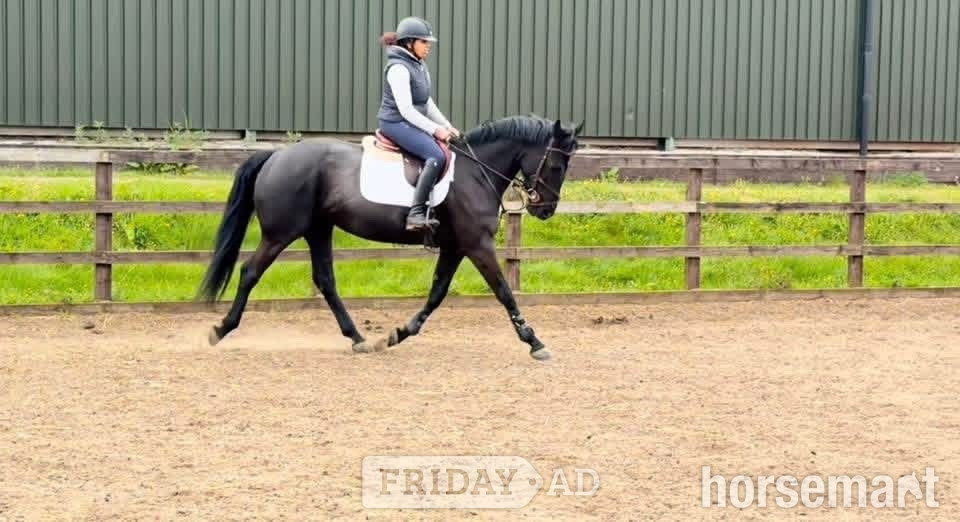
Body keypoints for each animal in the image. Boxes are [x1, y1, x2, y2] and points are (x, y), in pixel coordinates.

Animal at [197, 115, 582, 360]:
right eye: (556, 165)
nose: (545, 210)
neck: (475, 173)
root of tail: (277, 154)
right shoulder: (477, 245)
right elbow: (504, 292)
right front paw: (534, 342)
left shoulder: (455, 247)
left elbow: (437, 294)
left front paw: (399, 333)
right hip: (281, 233)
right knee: (250, 272)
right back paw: (221, 329)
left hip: (318, 229)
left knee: (325, 280)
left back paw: (358, 339)